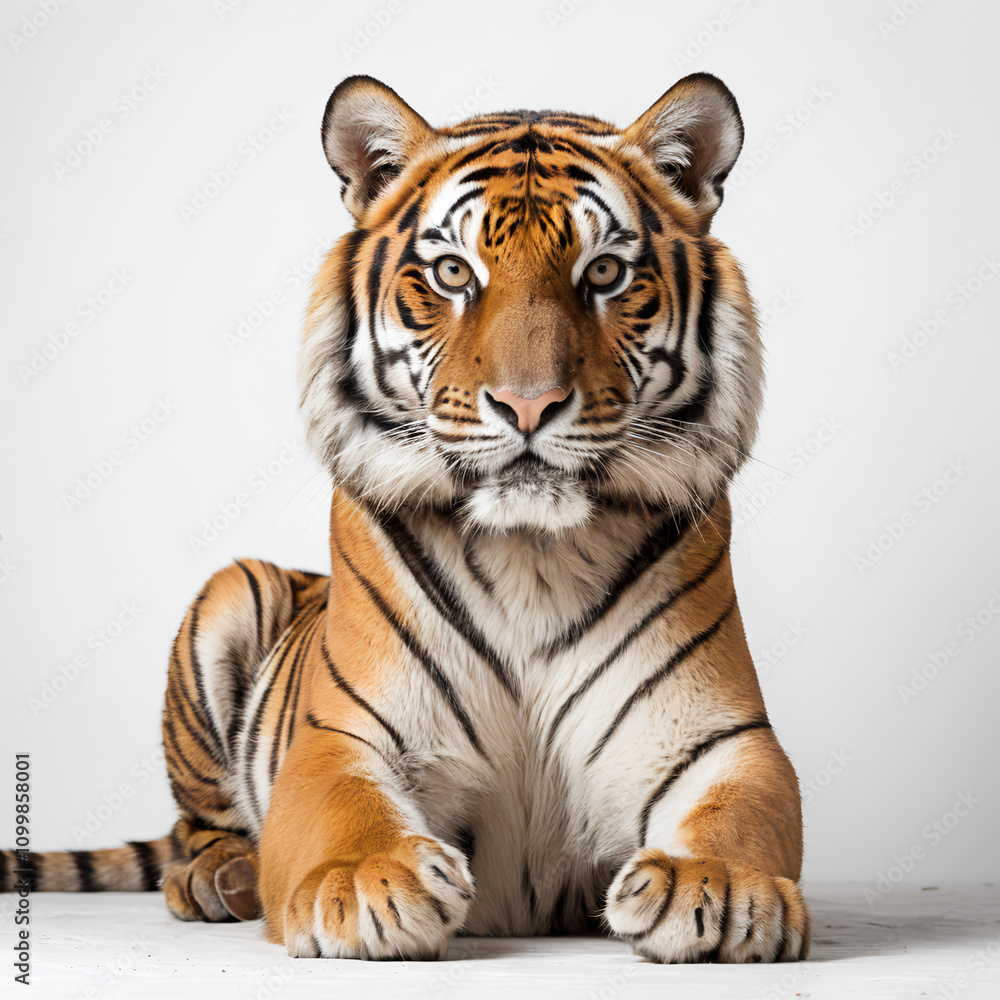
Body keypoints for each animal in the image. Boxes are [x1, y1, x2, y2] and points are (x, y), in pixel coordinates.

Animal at [2, 72, 810, 964]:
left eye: (603, 272)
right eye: (453, 272)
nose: (529, 405)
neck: (532, 556)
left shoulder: (722, 740)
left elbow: (742, 814)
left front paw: (716, 889)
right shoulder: (342, 735)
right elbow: (344, 812)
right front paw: (369, 883)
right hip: (231, 590)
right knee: (199, 829)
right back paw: (220, 878)